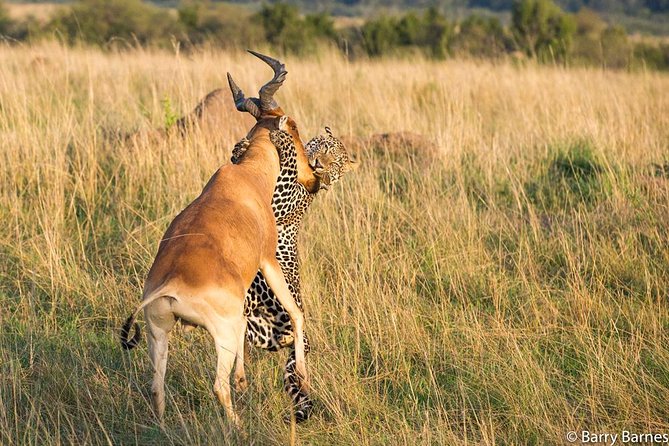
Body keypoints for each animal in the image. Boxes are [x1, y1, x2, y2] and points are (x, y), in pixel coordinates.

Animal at [119, 51, 319, 424]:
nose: (313, 178)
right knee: (218, 385)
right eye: (294, 127)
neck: (245, 175)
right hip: (220, 332)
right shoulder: (267, 259)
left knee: (156, 385)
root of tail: (170, 285)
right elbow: (297, 312)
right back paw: (237, 426)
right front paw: (302, 375)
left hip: (158, 331)